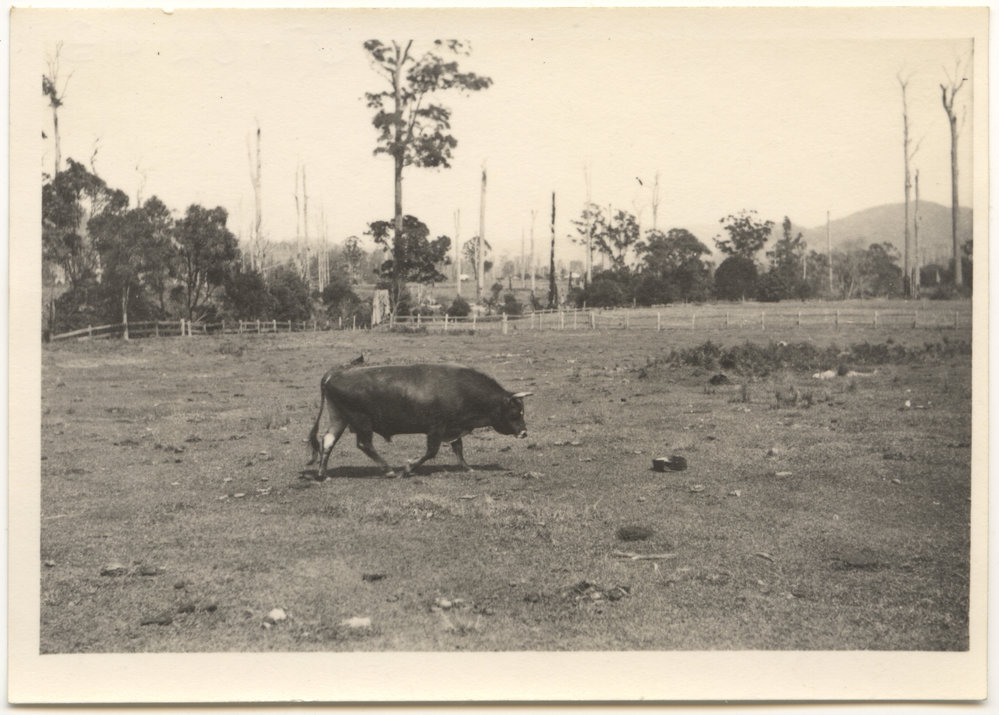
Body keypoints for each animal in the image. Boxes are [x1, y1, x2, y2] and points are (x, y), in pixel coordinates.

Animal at [307, 363, 532, 480]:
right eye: (515, 411)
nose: (524, 432)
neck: (460, 389)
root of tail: (336, 373)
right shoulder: (436, 428)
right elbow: (431, 452)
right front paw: (408, 468)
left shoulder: (453, 428)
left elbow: (458, 449)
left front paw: (467, 467)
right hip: (361, 421)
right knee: (364, 444)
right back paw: (389, 470)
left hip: (339, 418)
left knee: (328, 440)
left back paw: (322, 473)